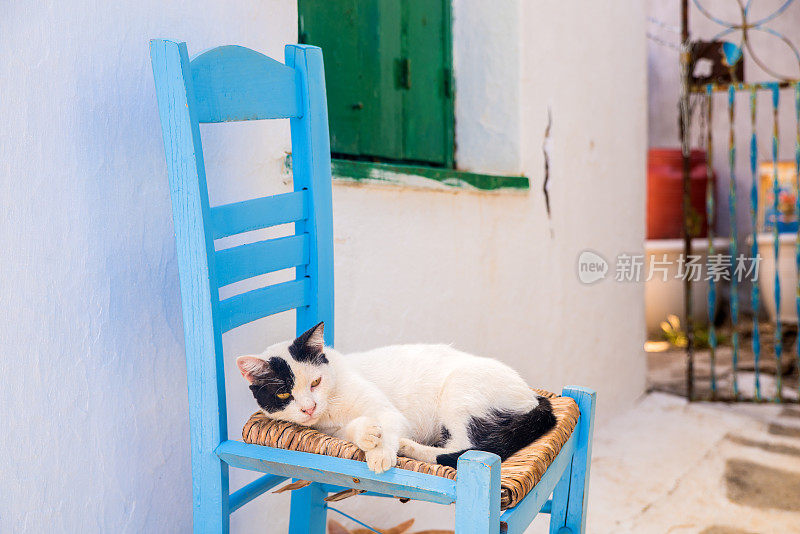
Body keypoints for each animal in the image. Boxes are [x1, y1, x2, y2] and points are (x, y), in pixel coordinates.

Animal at [238, 322, 556, 474]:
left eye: (316, 382)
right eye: (284, 393)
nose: (309, 408)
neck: (331, 410)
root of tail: (535, 397)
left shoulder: (388, 411)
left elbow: (389, 422)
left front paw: (381, 454)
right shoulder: (331, 431)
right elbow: (352, 430)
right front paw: (368, 434)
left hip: (459, 391)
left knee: (463, 448)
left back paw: (407, 446)